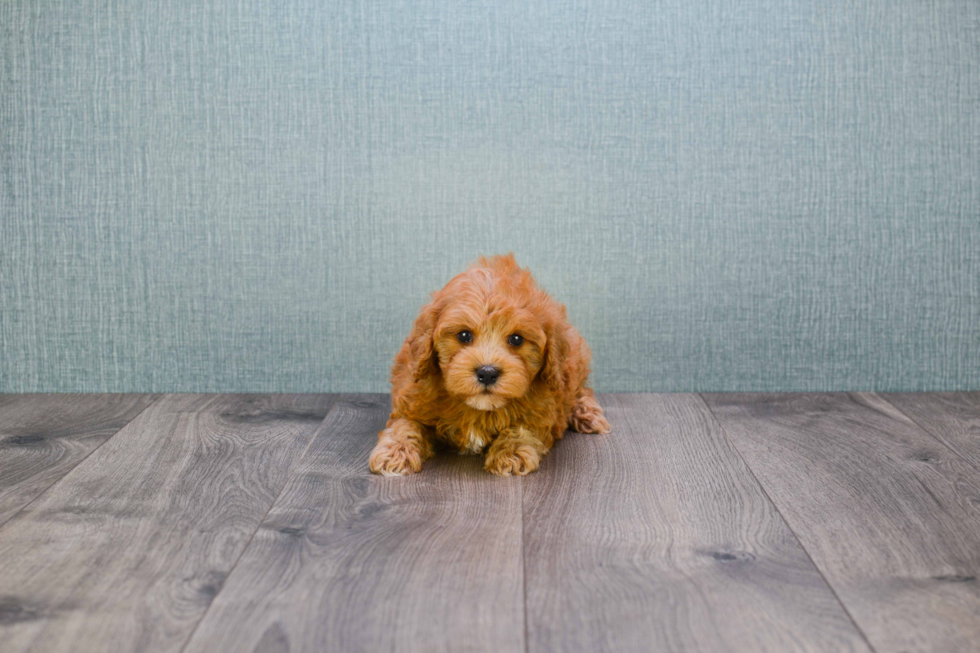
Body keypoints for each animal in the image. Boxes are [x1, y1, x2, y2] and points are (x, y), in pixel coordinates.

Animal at [370, 252, 608, 476]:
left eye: (517, 339)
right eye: (464, 335)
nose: (487, 373)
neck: (478, 408)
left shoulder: (543, 411)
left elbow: (523, 428)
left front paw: (511, 453)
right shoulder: (412, 398)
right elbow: (404, 425)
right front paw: (395, 452)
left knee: (582, 390)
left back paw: (588, 414)